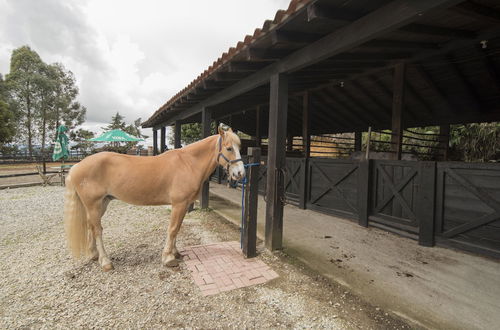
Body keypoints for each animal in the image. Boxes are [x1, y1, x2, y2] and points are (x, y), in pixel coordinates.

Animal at [62, 125, 246, 270]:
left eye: (239, 147)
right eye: (229, 148)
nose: (240, 173)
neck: (188, 163)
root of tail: (77, 166)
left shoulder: (183, 205)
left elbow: (177, 228)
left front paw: (175, 253)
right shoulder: (178, 204)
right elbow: (172, 229)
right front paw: (168, 258)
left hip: (102, 204)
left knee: (91, 226)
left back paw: (94, 255)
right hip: (93, 205)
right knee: (98, 230)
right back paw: (106, 262)